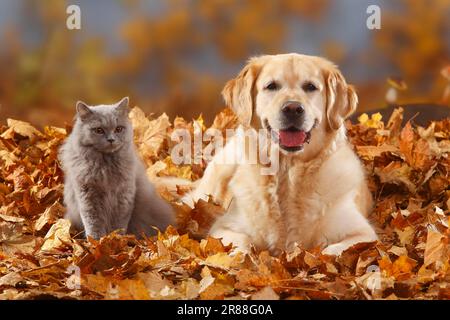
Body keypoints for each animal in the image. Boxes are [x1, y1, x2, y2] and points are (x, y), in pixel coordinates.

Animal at [58, 96, 174, 239]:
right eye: (99, 130)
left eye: (118, 129)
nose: (111, 139)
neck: (105, 167)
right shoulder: (87, 195)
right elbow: (93, 223)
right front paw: (96, 240)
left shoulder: (123, 195)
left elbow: (118, 223)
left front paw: (115, 239)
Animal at [185, 53, 378, 256]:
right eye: (271, 86)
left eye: (310, 87)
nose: (293, 108)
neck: (287, 173)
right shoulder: (223, 228)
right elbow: (240, 247)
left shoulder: (363, 233)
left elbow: (331, 252)